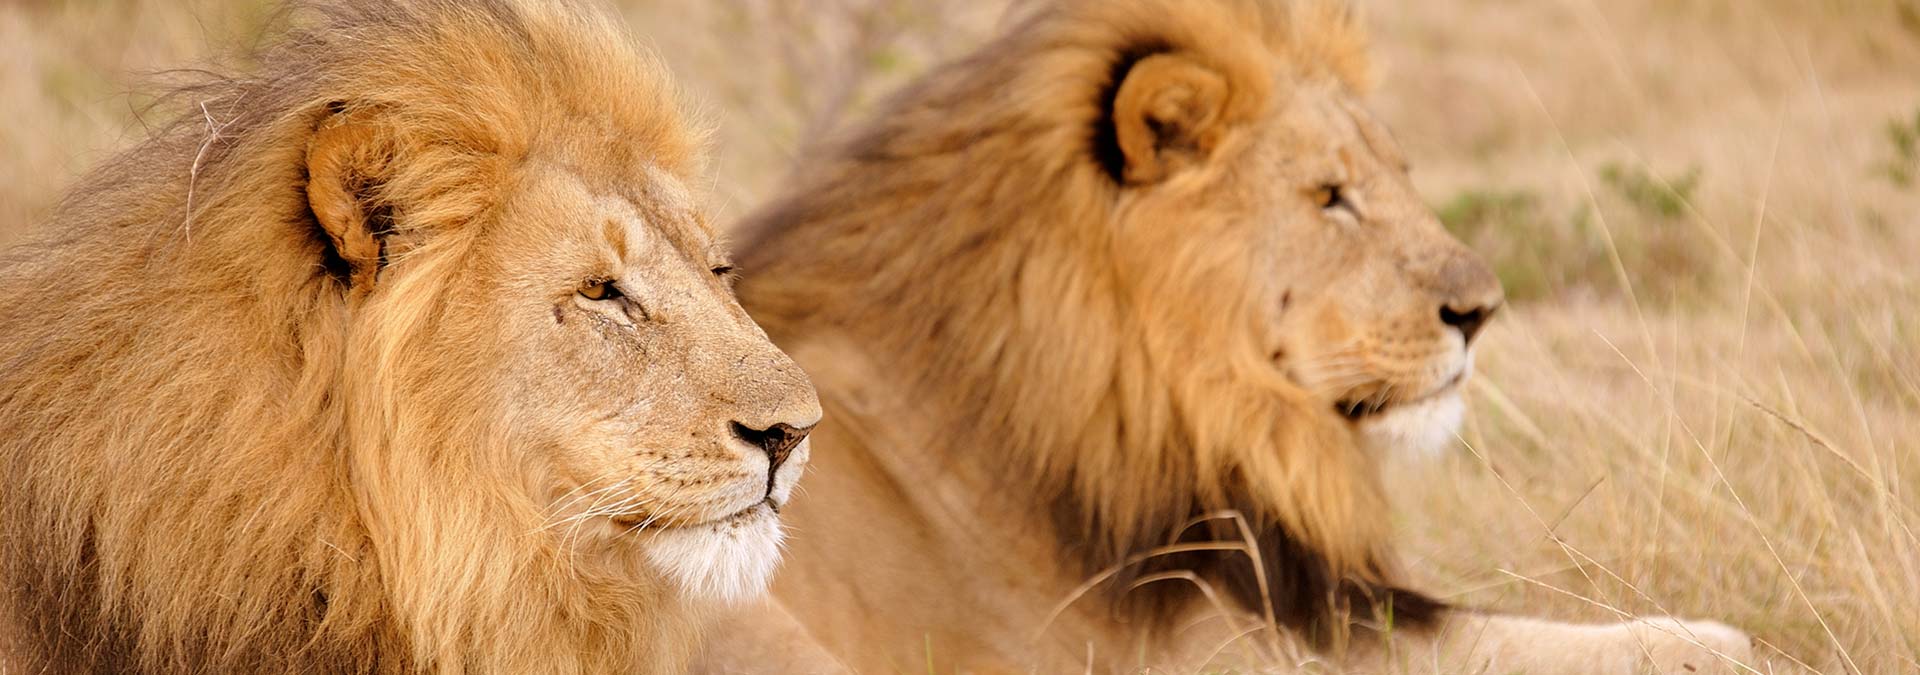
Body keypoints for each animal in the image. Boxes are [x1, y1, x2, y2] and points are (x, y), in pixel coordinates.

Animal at [704, 0, 1755, 672]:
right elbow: (1533, 639)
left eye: (1398, 172)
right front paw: (1719, 642)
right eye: (1329, 197)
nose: (1482, 309)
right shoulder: (1216, 645)